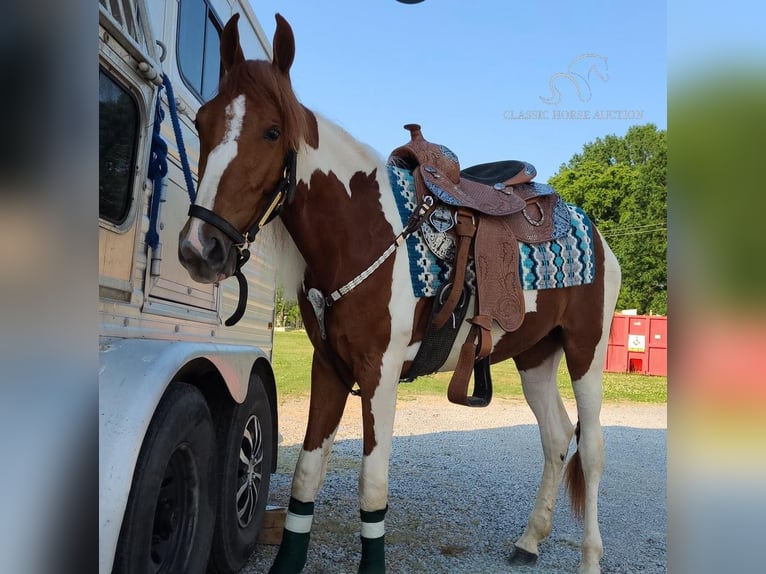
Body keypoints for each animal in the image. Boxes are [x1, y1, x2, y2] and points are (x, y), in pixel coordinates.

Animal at [180, 13, 624, 574]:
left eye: (272, 130)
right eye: (202, 124)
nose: (200, 247)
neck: (364, 230)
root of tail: (593, 231)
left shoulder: (380, 372)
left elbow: (372, 487)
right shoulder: (329, 368)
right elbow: (306, 476)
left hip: (586, 349)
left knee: (593, 449)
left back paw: (589, 556)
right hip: (535, 356)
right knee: (556, 437)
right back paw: (529, 539)